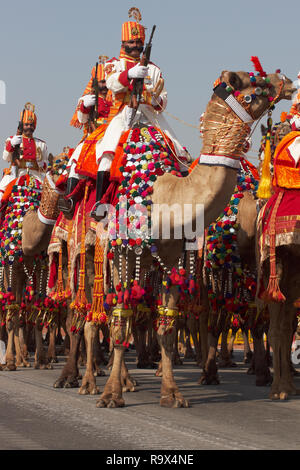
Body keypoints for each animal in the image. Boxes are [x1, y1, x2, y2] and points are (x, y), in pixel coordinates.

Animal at [95, 67, 292, 408]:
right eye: (253, 82)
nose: (288, 83)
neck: (163, 195)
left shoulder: (172, 257)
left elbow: (168, 326)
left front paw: (172, 393)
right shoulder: (125, 253)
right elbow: (121, 323)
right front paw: (111, 394)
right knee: (106, 313)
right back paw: (98, 379)